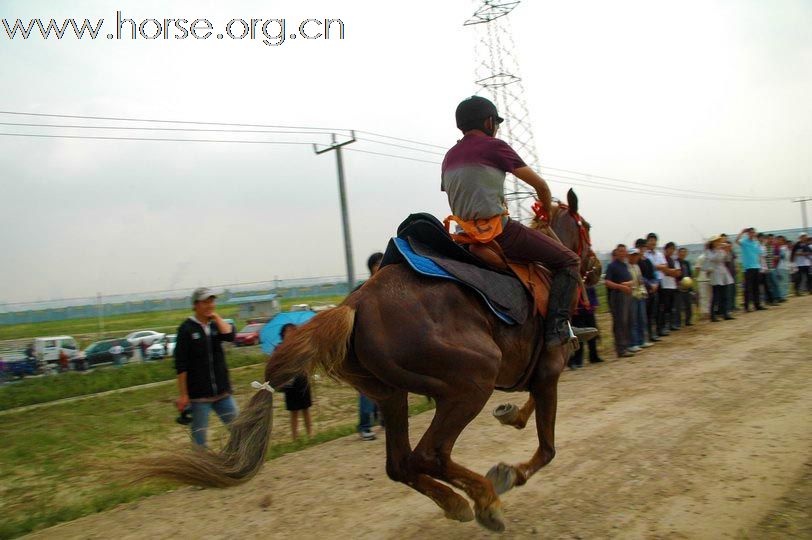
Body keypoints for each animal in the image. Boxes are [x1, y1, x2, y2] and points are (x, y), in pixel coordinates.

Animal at [138, 190, 596, 532]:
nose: (592, 265)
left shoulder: (539, 374)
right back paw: (485, 498)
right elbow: (548, 448)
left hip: (392, 394)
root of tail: (354, 305)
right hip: (471, 383)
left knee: (400, 464)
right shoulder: (549, 370)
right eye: (587, 228)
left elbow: (529, 412)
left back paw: (456, 502)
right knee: (427, 455)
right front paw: (510, 472)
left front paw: (509, 415)